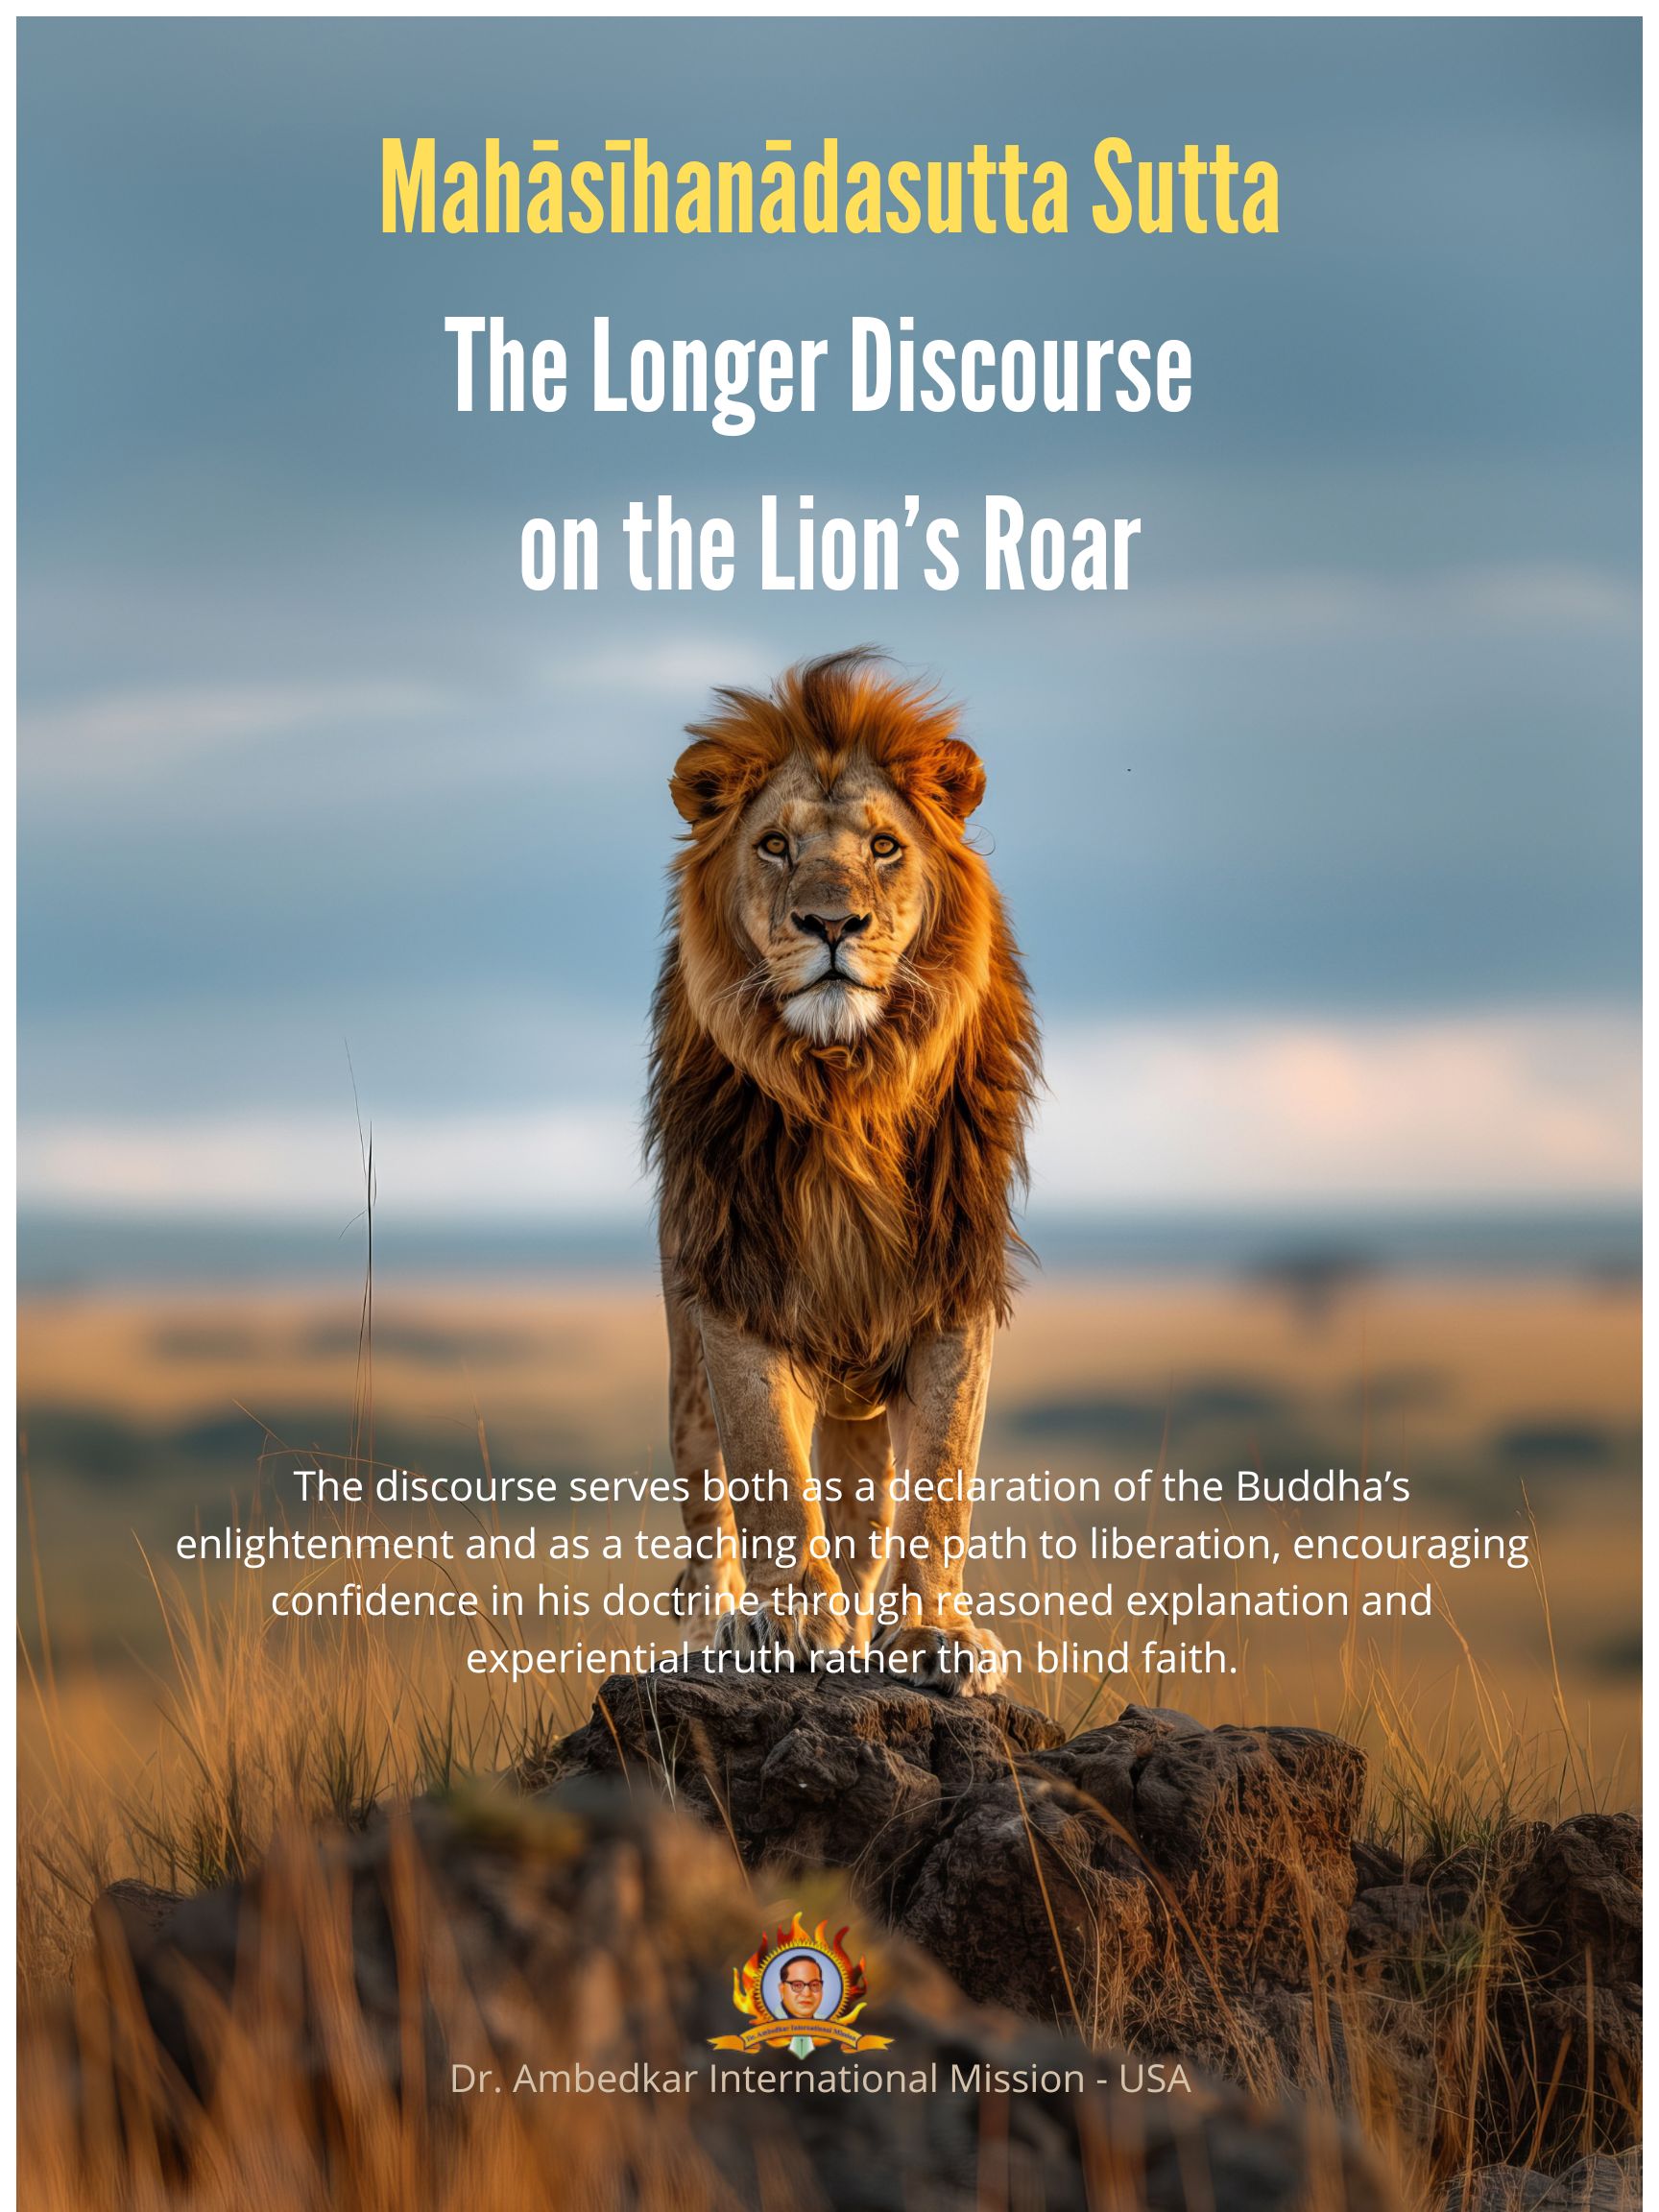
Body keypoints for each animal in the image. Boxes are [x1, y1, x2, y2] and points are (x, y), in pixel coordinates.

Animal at [646, 650, 1039, 1696]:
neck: (844, 1085)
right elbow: (768, 1474)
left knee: (867, 1520)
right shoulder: (734, 1285)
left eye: (886, 847)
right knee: (705, 1517)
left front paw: (934, 1635)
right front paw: (787, 1622)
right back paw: (714, 1626)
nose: (832, 923)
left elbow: (943, 1480)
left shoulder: (954, 1288)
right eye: (776, 845)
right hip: (681, 1350)